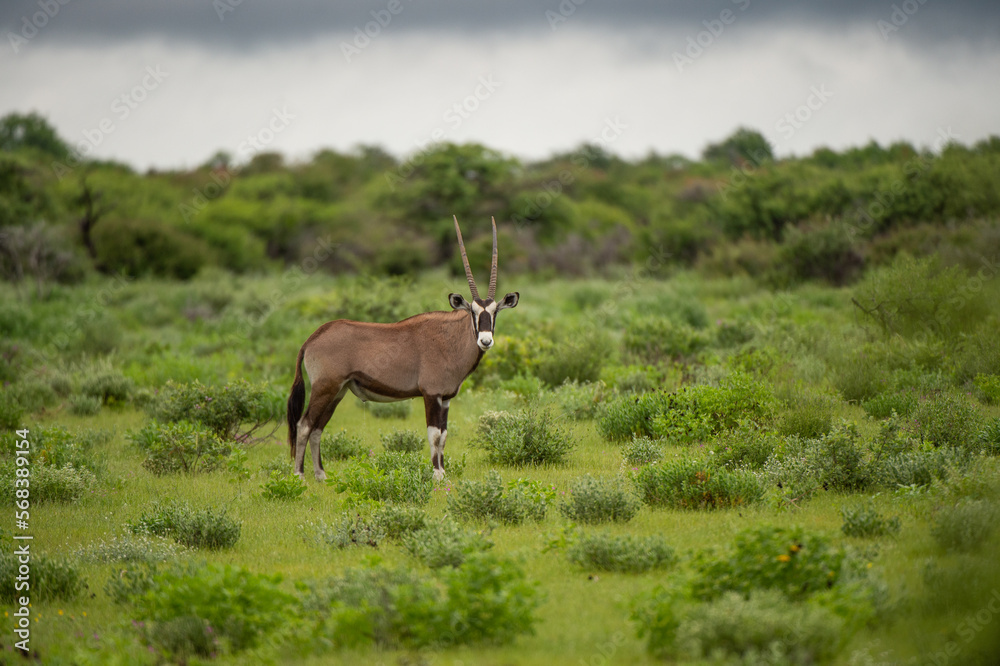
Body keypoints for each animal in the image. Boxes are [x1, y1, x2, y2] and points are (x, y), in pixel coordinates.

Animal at [286, 216, 519, 482]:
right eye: (473, 311)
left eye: (495, 312)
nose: (485, 341)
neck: (450, 339)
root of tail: (312, 339)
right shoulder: (431, 394)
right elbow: (434, 434)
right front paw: (437, 475)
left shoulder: (446, 399)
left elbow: (444, 436)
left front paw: (443, 471)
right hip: (325, 388)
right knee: (304, 425)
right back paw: (299, 475)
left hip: (337, 392)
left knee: (317, 428)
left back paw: (321, 476)